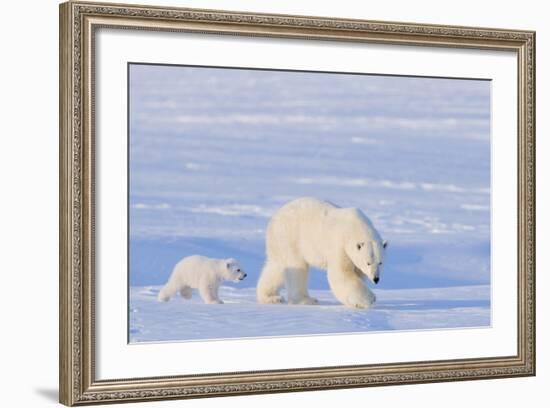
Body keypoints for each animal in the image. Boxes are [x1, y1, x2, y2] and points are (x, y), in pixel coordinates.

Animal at [258, 198, 388, 310]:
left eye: (380, 263)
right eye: (368, 263)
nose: (376, 278)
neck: (355, 228)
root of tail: (274, 219)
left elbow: (356, 274)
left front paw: (356, 302)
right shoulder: (339, 246)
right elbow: (341, 274)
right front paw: (370, 298)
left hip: (279, 243)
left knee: (277, 267)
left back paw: (270, 297)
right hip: (290, 237)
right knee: (297, 268)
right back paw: (307, 300)